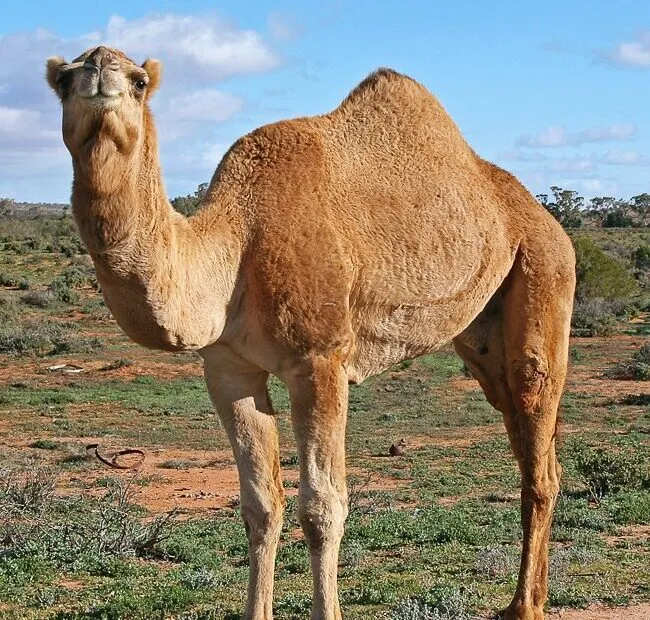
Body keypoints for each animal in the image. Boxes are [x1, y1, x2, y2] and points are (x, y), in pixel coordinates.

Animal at [46, 46, 575, 620]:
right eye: (64, 79)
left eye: (140, 81)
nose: (100, 68)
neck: (236, 245)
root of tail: (546, 219)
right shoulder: (229, 369)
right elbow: (260, 504)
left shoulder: (320, 360)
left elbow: (323, 507)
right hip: (483, 335)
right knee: (528, 438)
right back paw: (534, 596)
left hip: (544, 270)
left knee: (537, 438)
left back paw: (523, 606)